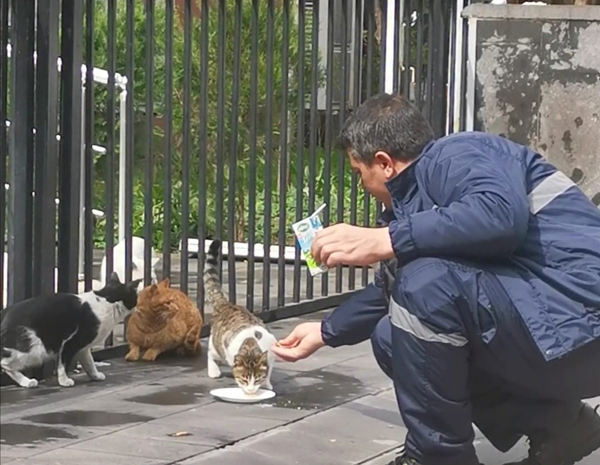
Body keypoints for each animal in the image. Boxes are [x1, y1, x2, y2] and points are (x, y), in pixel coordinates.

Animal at [0, 272, 141, 388]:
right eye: (136, 297)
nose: (137, 306)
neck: (106, 300)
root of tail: (4, 312)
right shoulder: (70, 342)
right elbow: (62, 363)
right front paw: (64, 381)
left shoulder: (84, 348)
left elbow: (89, 362)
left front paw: (95, 376)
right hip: (35, 350)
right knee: (5, 363)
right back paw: (27, 382)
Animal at [203, 241, 276, 394]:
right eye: (244, 379)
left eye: (257, 379)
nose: (251, 390)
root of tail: (226, 304)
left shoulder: (271, 354)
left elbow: (268, 371)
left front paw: (266, 384)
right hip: (218, 347)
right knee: (210, 354)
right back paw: (213, 372)